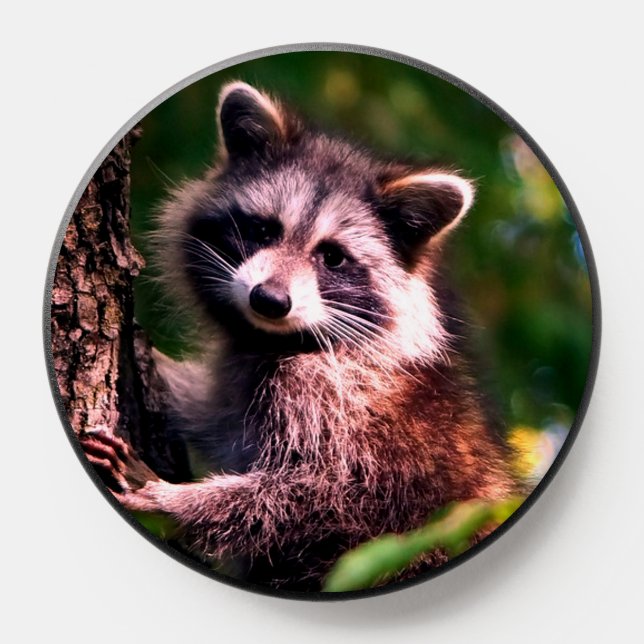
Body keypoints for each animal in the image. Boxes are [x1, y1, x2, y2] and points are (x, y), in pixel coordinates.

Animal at [82, 82, 515, 591]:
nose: (269, 300)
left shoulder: (340, 401)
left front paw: (173, 502)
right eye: (262, 229)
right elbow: (214, 415)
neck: (276, 339)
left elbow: (326, 494)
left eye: (332, 257)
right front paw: (163, 371)